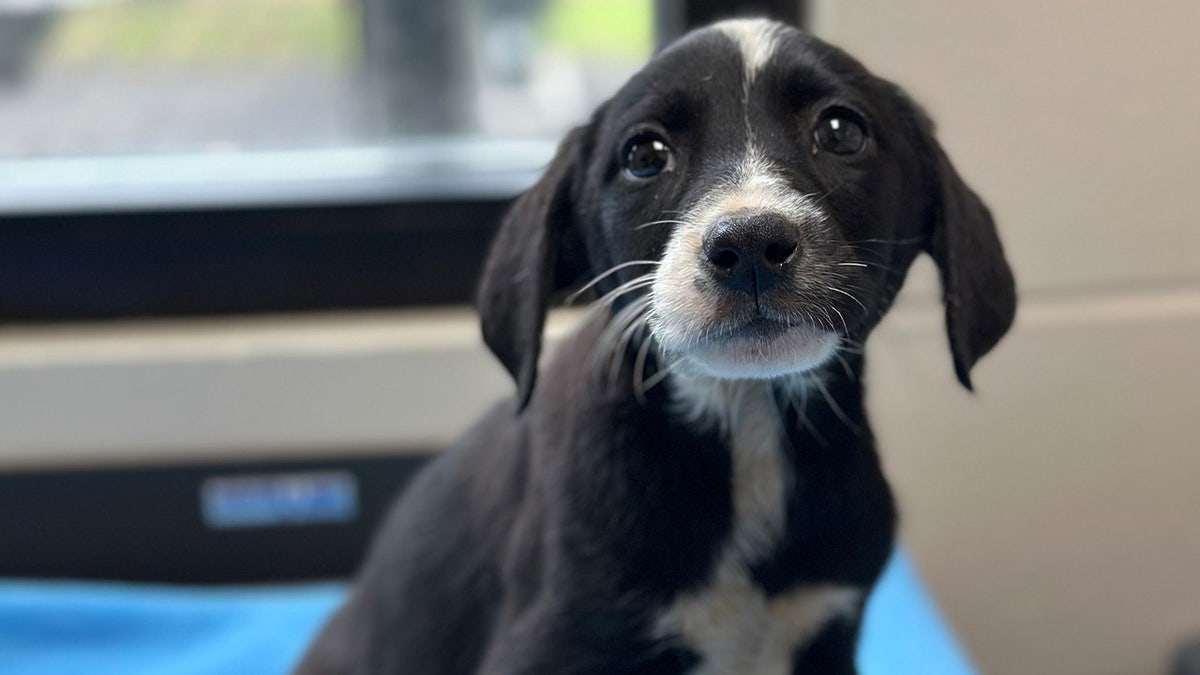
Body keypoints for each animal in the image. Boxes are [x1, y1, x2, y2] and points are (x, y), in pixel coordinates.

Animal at [297, 17, 1012, 672]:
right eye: (644, 154)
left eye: (840, 131)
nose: (749, 245)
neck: (748, 423)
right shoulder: (550, 641)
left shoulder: (827, 634)